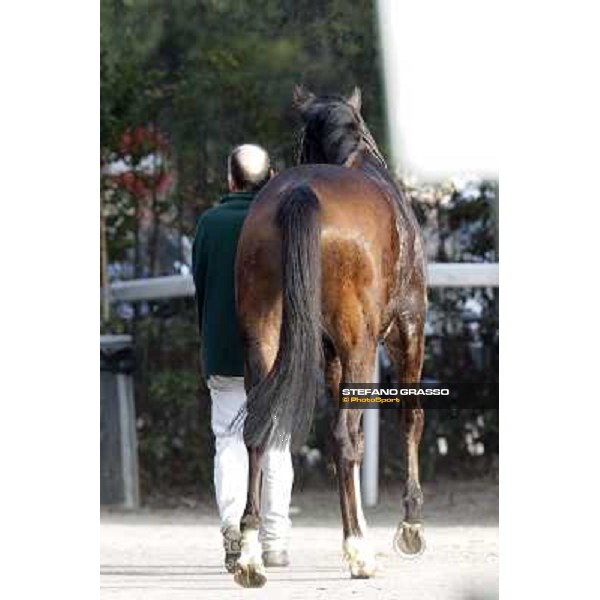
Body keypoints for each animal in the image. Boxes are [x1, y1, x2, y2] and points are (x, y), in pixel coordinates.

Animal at [231, 85, 426, 584]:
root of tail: (300, 193)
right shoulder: (407, 330)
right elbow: (408, 417)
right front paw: (410, 525)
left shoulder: (331, 352)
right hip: (362, 344)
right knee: (341, 435)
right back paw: (359, 552)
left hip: (263, 338)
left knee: (259, 426)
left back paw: (249, 556)